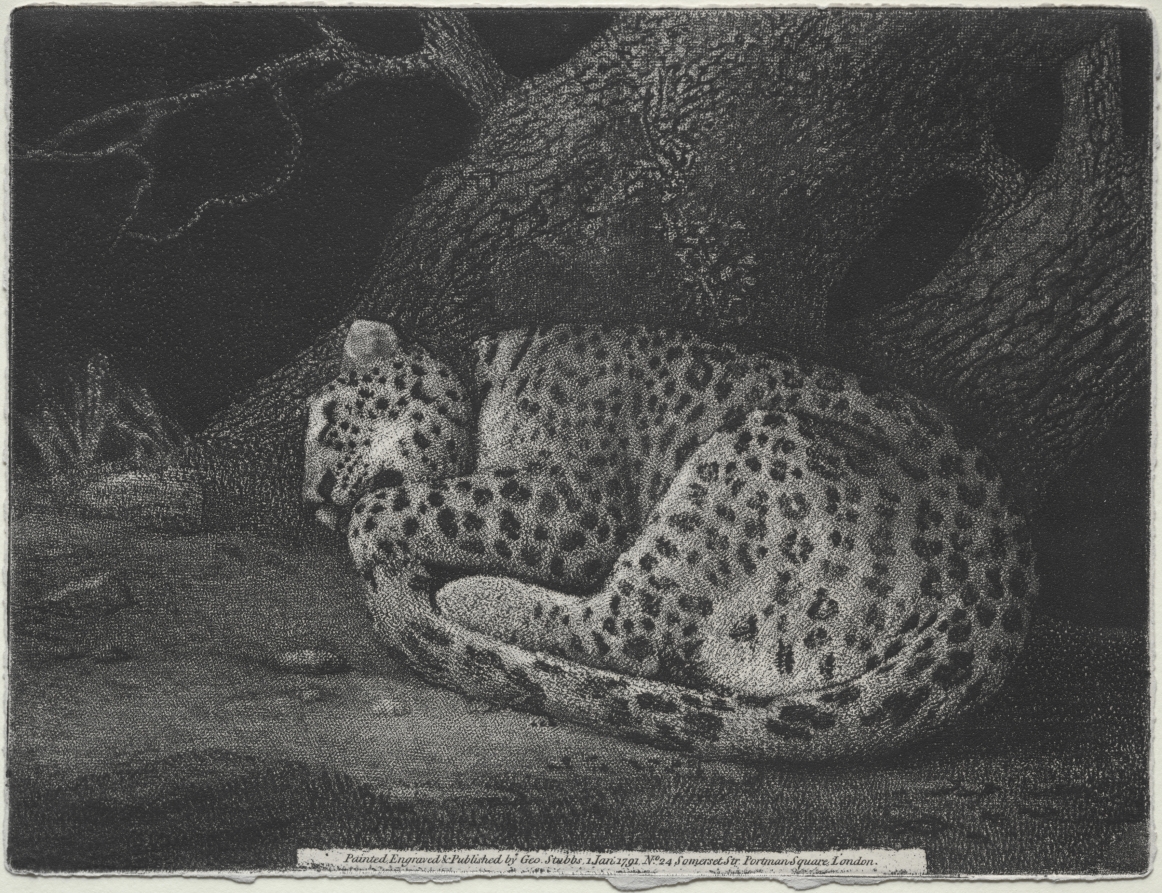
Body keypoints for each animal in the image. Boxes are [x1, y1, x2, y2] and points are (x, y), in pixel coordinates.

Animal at [303, 318, 1035, 761]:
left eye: (328, 423)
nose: (312, 504)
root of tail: (995, 603)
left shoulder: (570, 504)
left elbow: (418, 502)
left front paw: (371, 530)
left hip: (747, 457)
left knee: (626, 630)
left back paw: (465, 594)